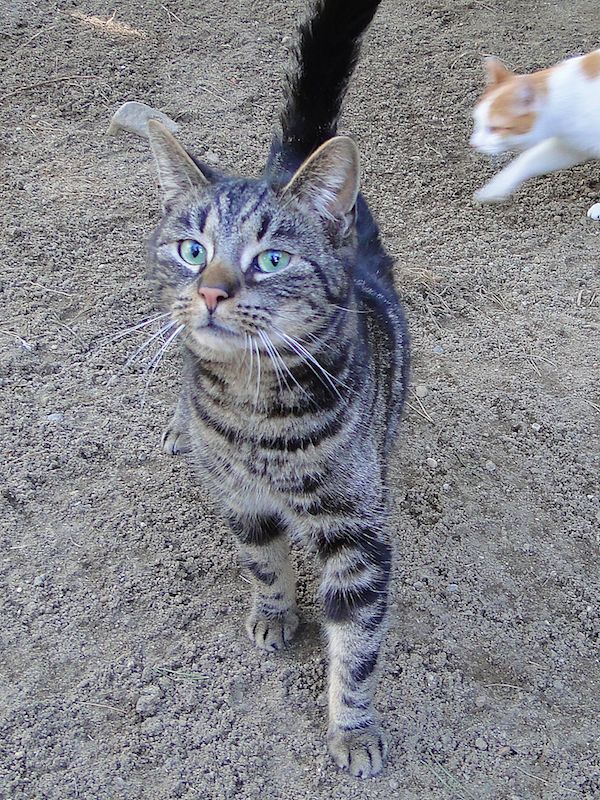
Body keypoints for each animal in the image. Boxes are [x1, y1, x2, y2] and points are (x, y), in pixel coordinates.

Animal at [138, 0, 408, 779]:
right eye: (192, 249)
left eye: (272, 260)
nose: (210, 292)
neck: (257, 409)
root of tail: (290, 157)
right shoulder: (241, 498)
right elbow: (262, 562)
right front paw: (275, 613)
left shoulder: (357, 532)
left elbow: (357, 648)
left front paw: (352, 727)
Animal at [471, 50, 600, 219]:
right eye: (477, 121)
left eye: (494, 128)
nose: (474, 144)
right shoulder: (570, 146)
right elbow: (528, 160)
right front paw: (494, 189)